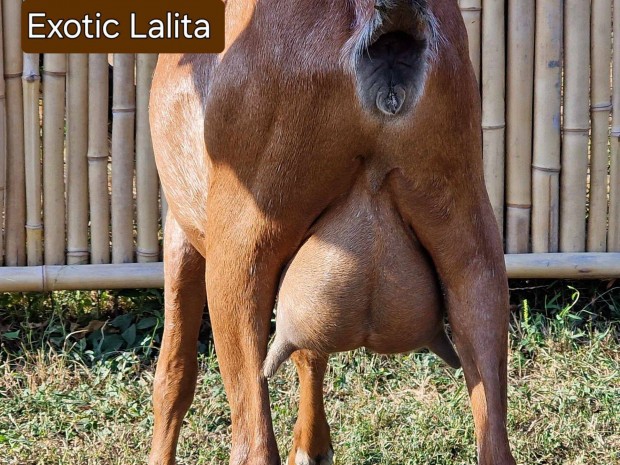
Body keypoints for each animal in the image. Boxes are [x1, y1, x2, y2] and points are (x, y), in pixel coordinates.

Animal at [148, 0, 516, 464]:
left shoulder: (181, 230)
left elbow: (174, 373)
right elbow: (310, 349)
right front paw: (313, 446)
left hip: (240, 254)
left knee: (253, 441)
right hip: (469, 238)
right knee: (495, 440)